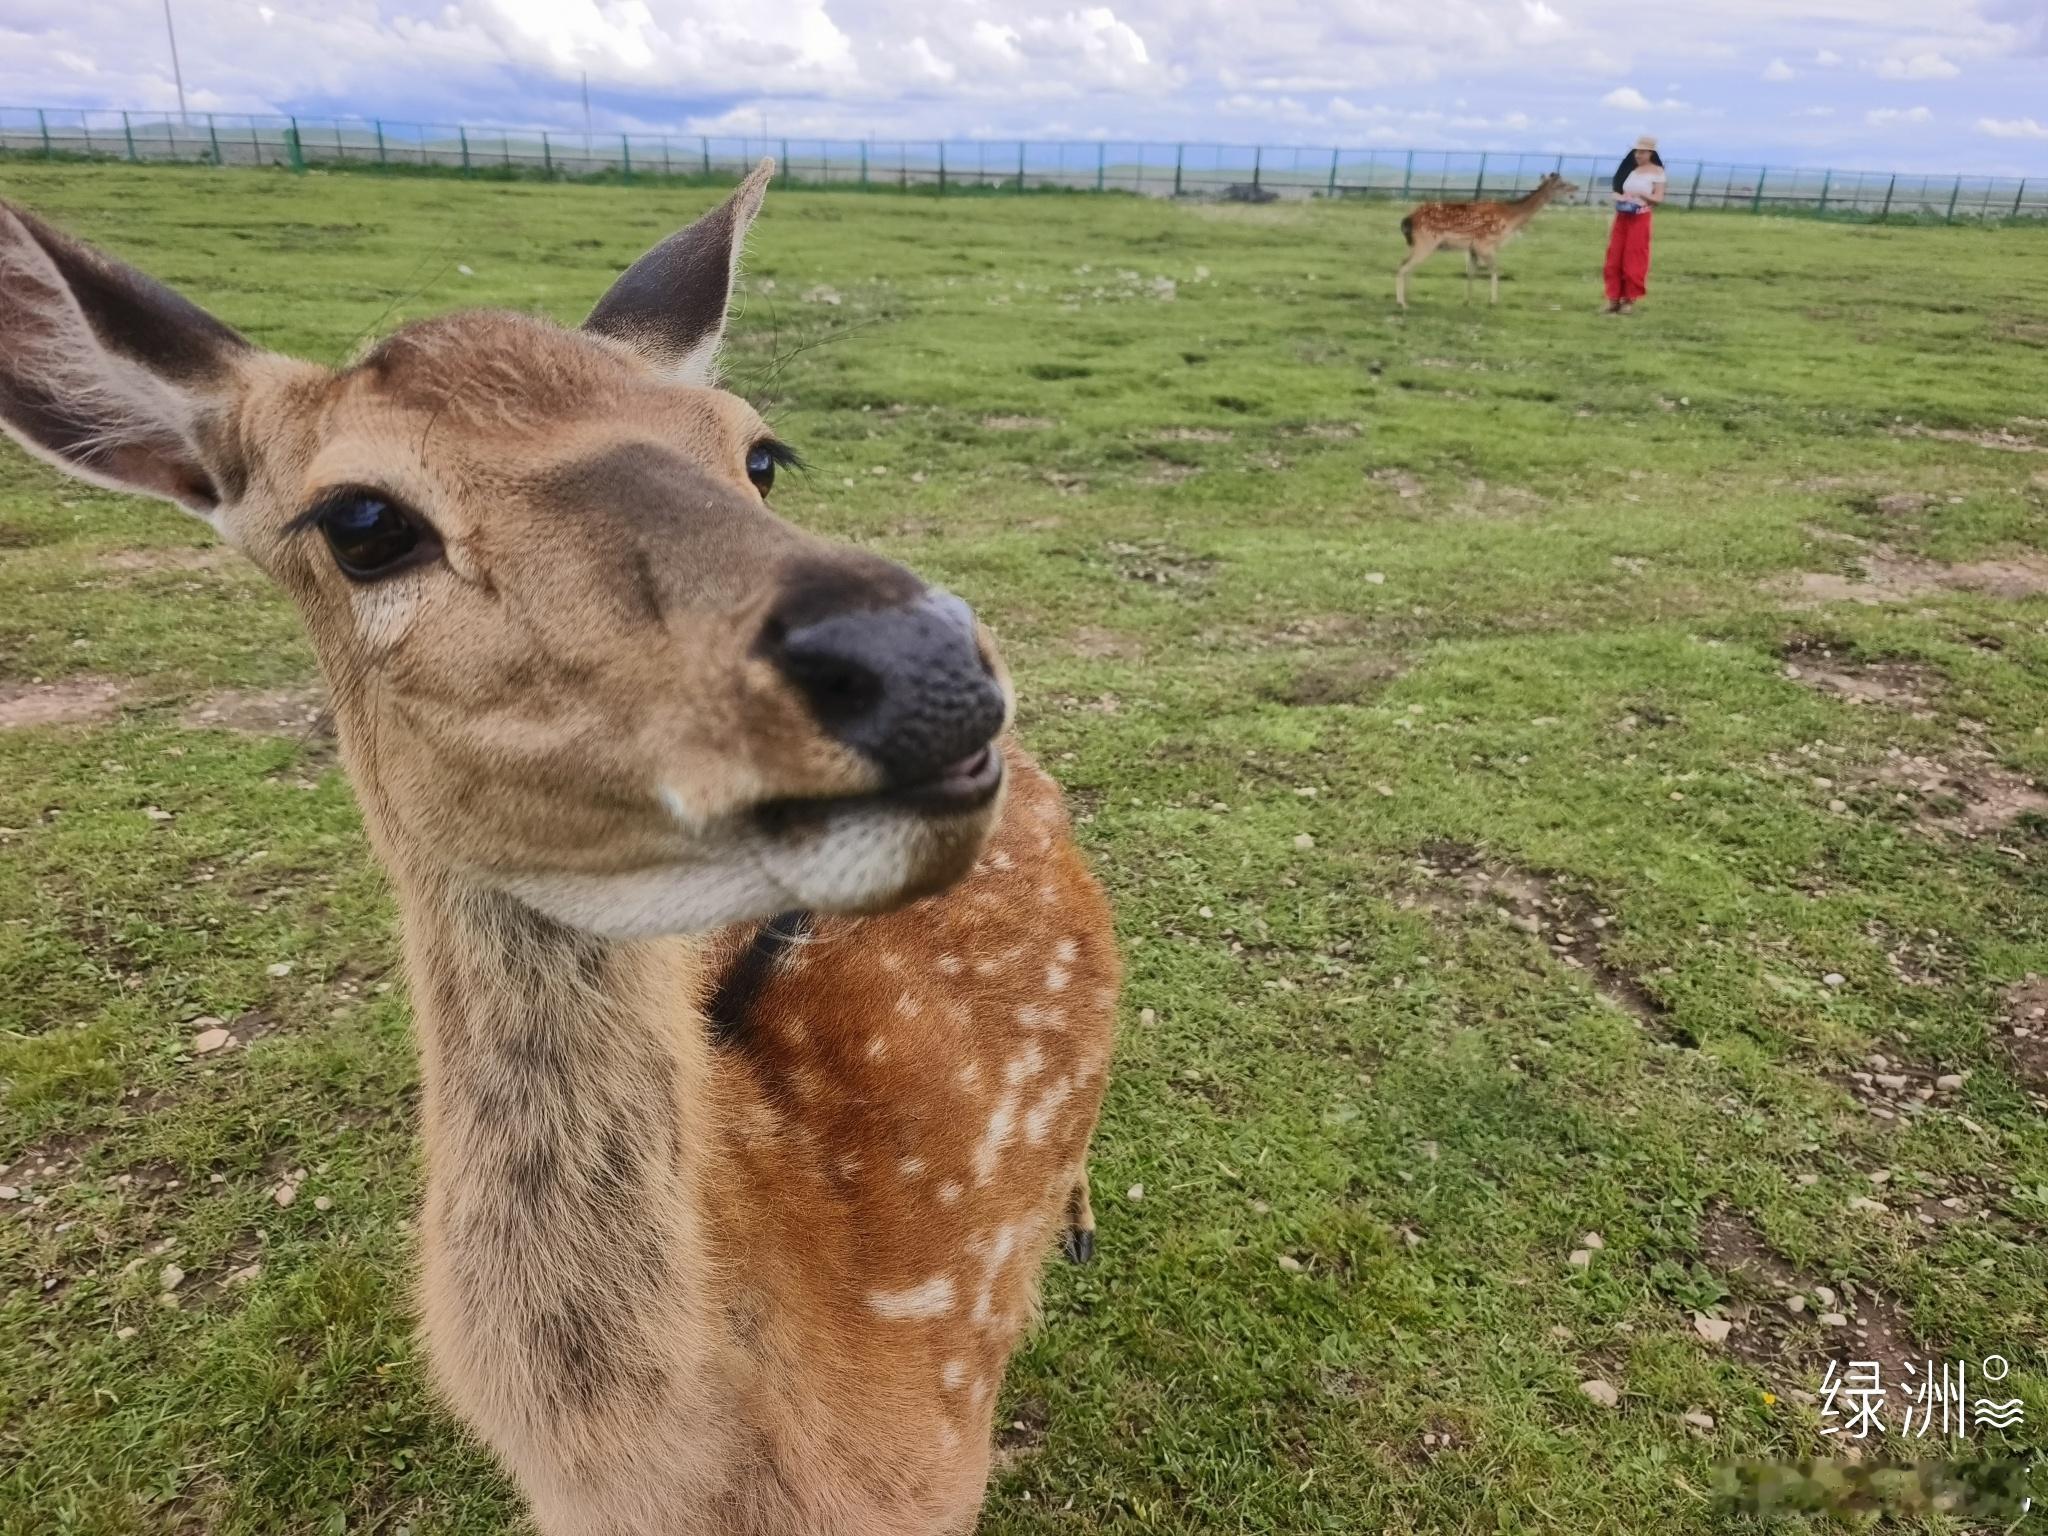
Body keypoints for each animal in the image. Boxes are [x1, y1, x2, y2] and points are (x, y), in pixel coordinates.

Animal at [1394, 171, 1579, 309]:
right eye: (1562, 184)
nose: (1577, 187)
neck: (1510, 221)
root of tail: (1408, 220)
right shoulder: (1486, 243)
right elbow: (1495, 269)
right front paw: (1493, 301)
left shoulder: (1472, 248)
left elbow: (1471, 273)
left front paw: (1467, 301)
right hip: (1426, 242)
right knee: (1404, 266)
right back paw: (1402, 303)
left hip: (1416, 243)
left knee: (1406, 265)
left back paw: (1407, 298)